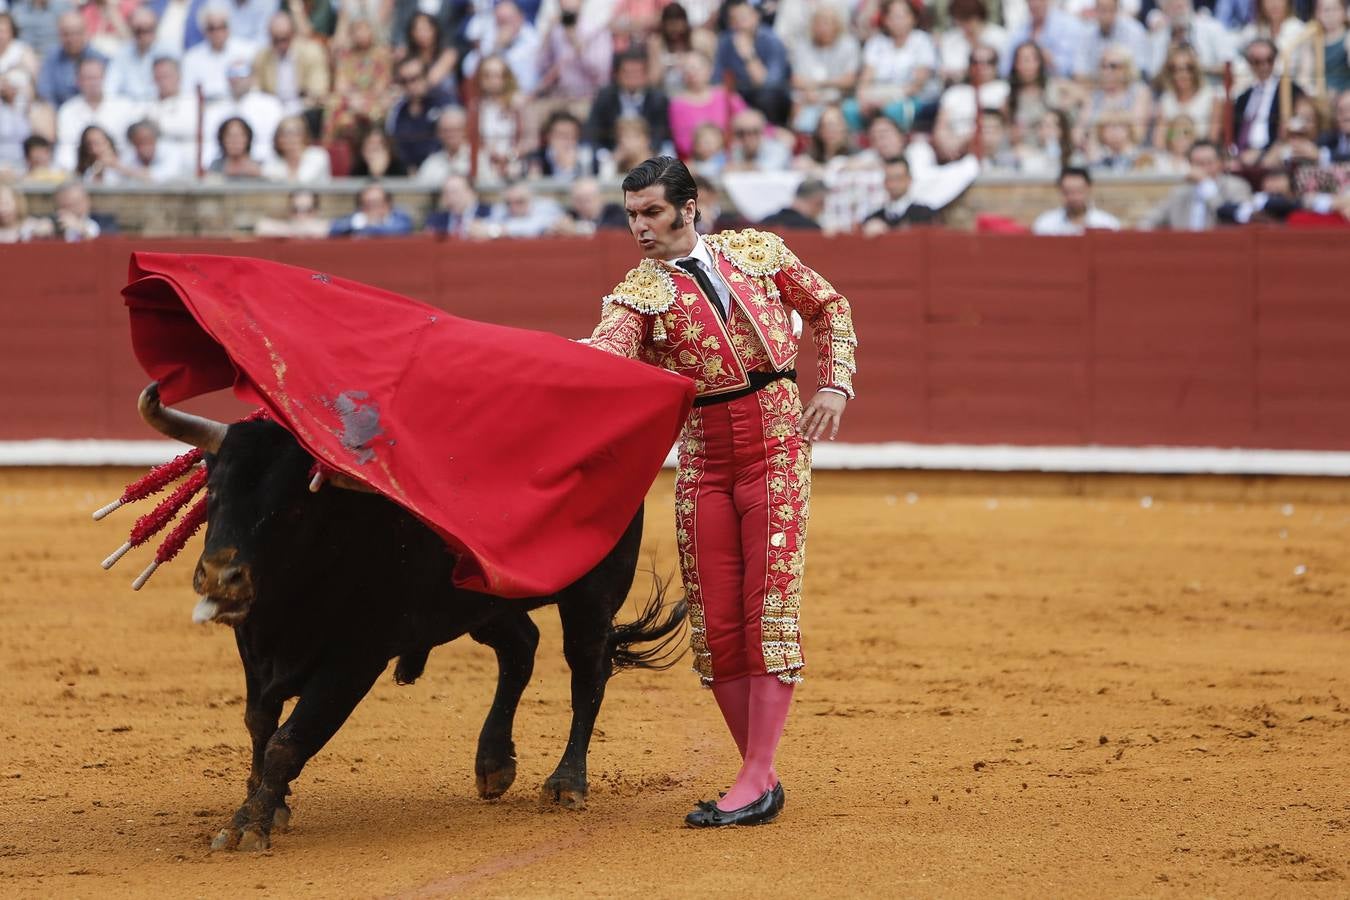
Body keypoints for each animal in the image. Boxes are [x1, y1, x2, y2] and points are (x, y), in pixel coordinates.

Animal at [137, 385, 685, 852]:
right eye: (212, 491)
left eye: (292, 508)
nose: (219, 578)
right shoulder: (254, 647)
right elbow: (258, 725)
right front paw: (268, 808)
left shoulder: (354, 660)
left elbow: (287, 741)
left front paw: (248, 826)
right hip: (481, 603)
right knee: (521, 647)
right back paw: (493, 764)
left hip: (591, 597)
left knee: (587, 670)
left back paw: (567, 783)